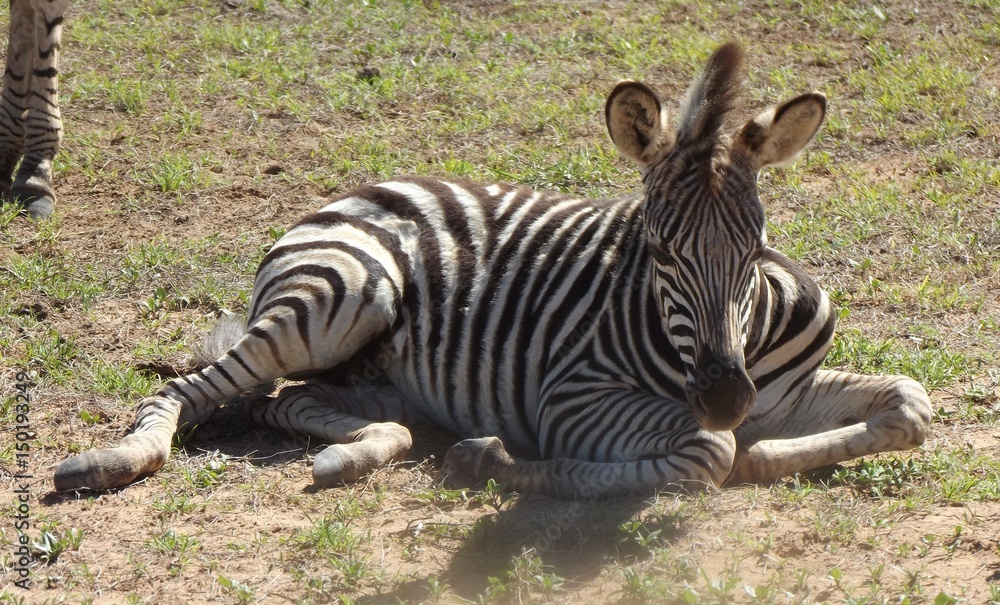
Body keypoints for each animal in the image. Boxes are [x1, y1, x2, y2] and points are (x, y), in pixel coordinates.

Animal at [54, 43, 932, 499]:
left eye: (754, 249)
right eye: (657, 251)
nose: (726, 397)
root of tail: (363, 187)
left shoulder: (781, 388)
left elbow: (910, 405)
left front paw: (765, 451)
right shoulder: (572, 400)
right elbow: (705, 456)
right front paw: (500, 461)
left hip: (372, 367)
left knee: (285, 403)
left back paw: (358, 448)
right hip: (341, 295)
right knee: (184, 391)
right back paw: (114, 459)